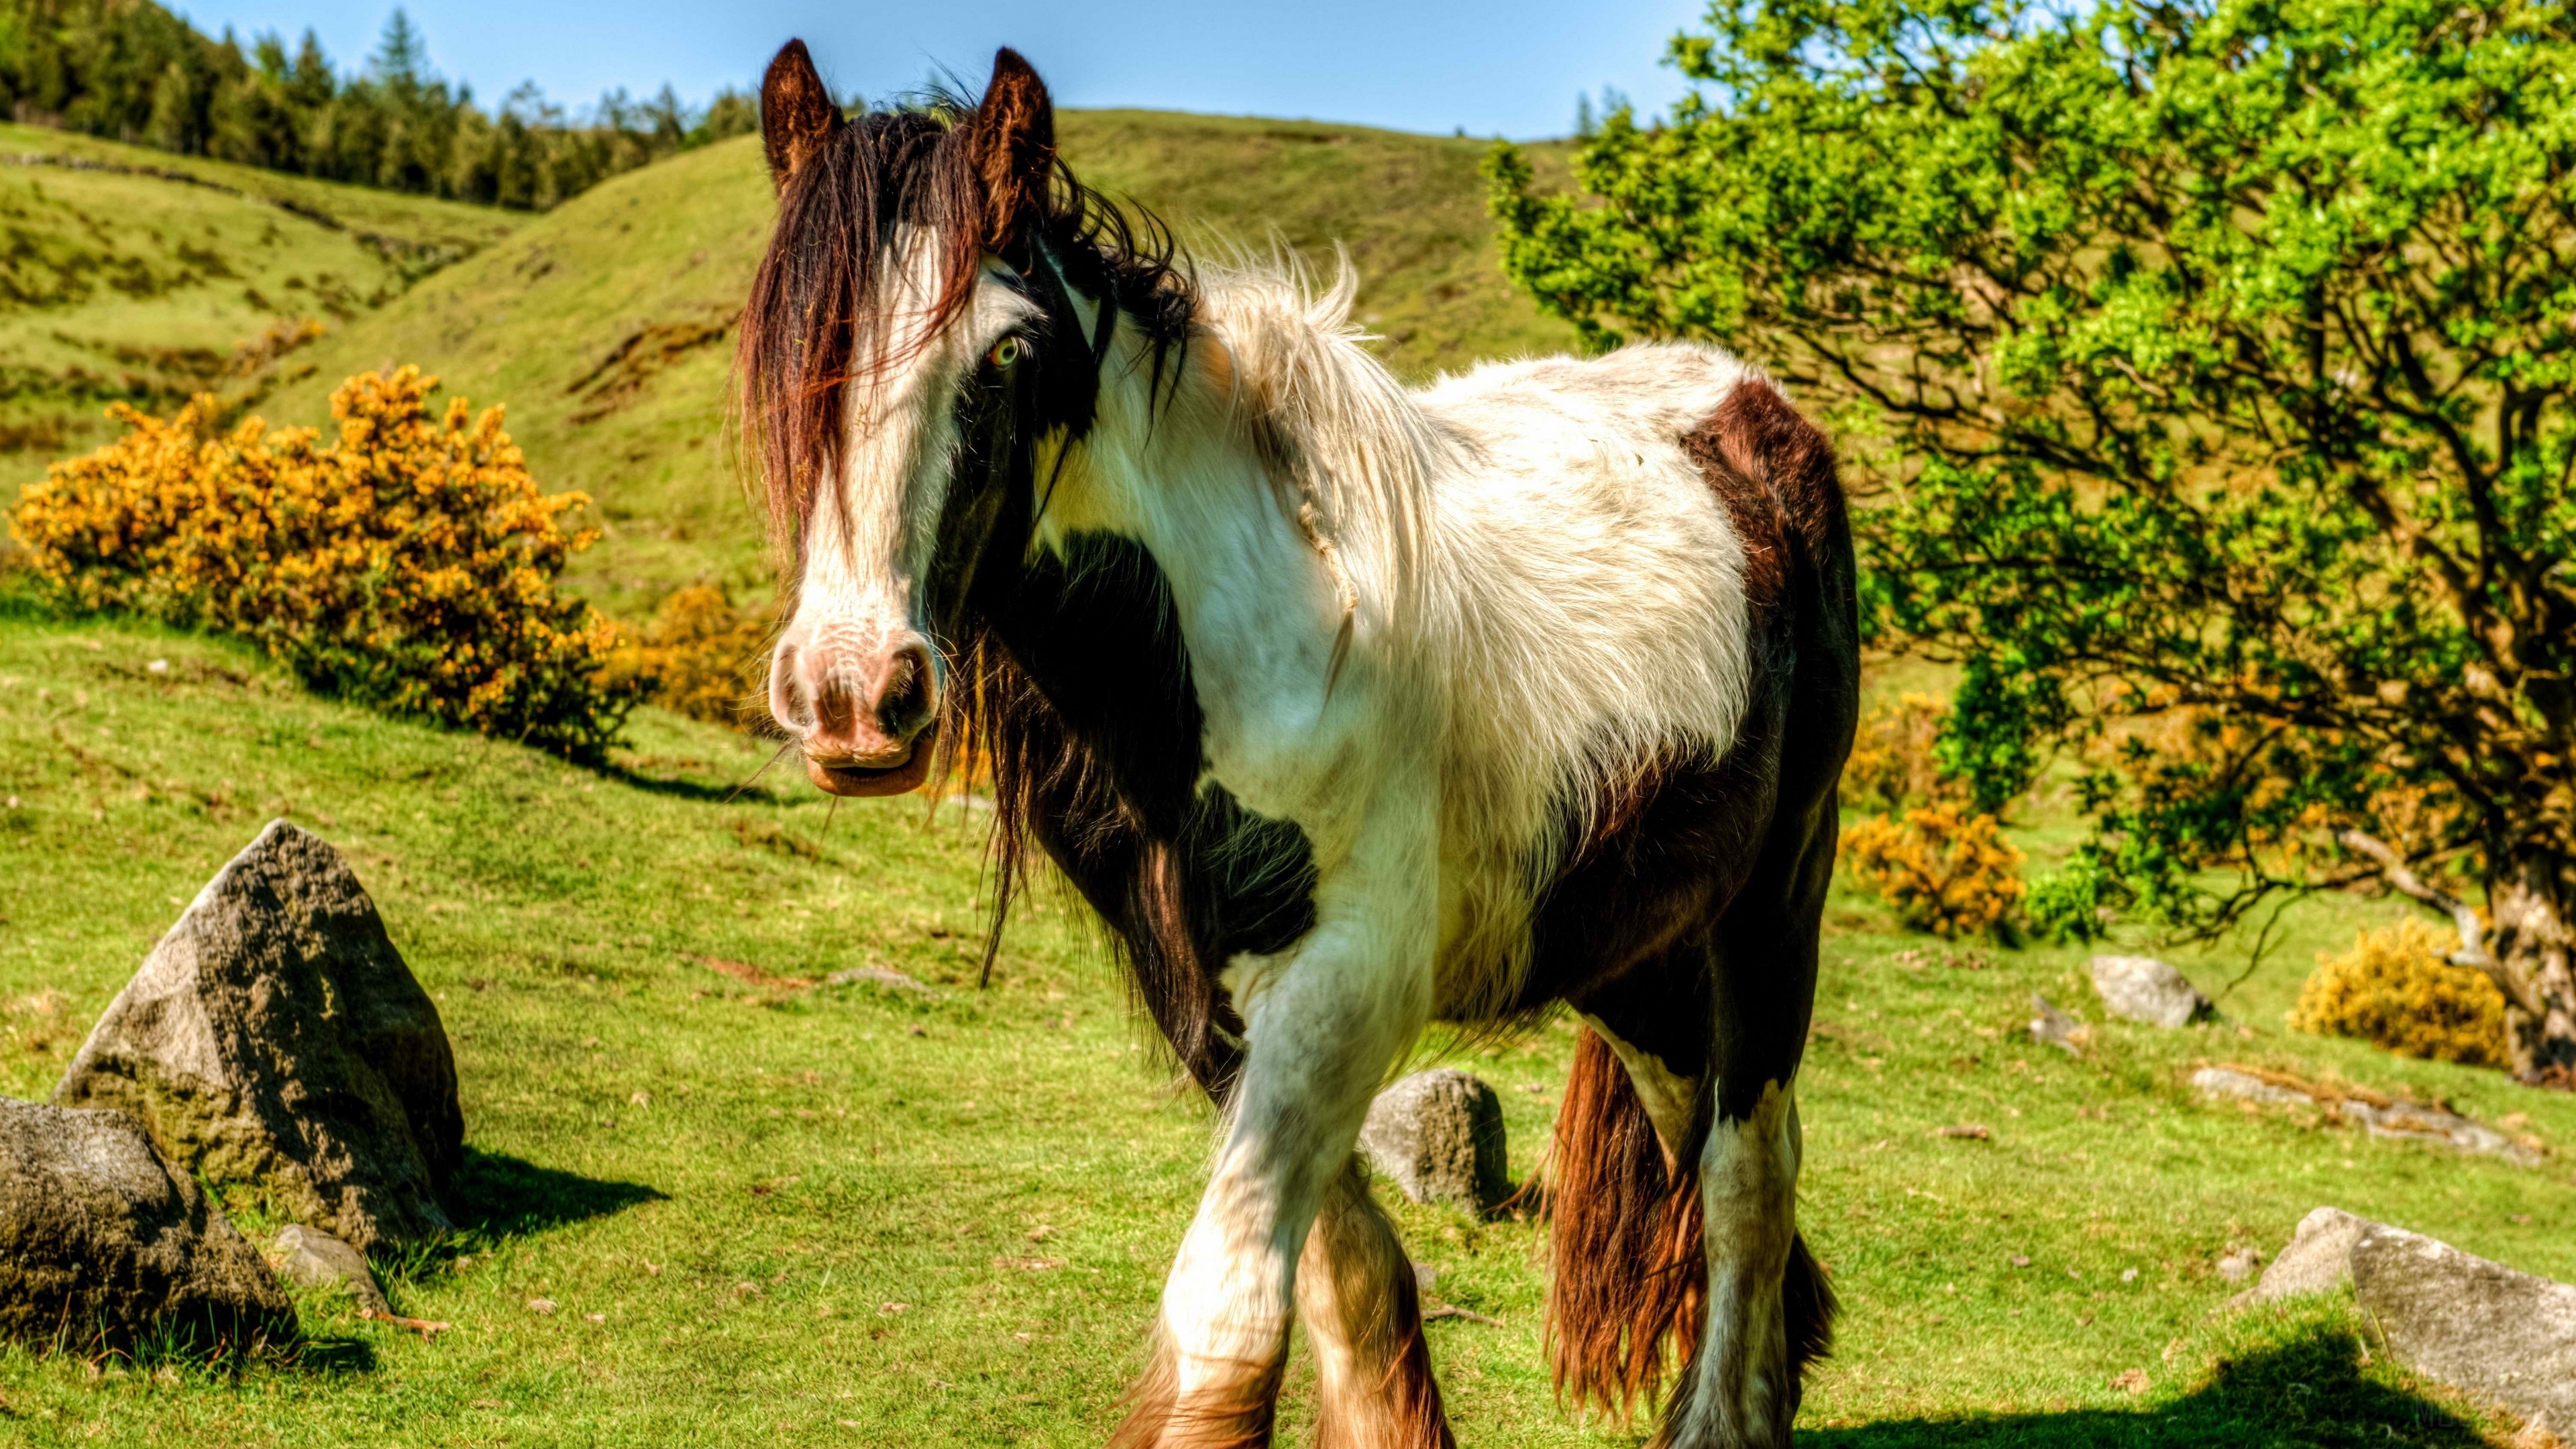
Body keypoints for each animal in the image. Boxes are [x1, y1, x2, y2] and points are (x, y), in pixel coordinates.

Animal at [736, 41, 1858, 1449]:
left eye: (1006, 352)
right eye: (790, 346)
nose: (851, 694)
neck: (1248, 633)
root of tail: (1757, 409)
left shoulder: (1343, 989)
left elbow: (1227, 1316)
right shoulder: (1214, 1007)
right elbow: (1347, 1289)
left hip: (1771, 909)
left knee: (1749, 1169)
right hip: (1637, 952)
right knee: (1696, 1151)